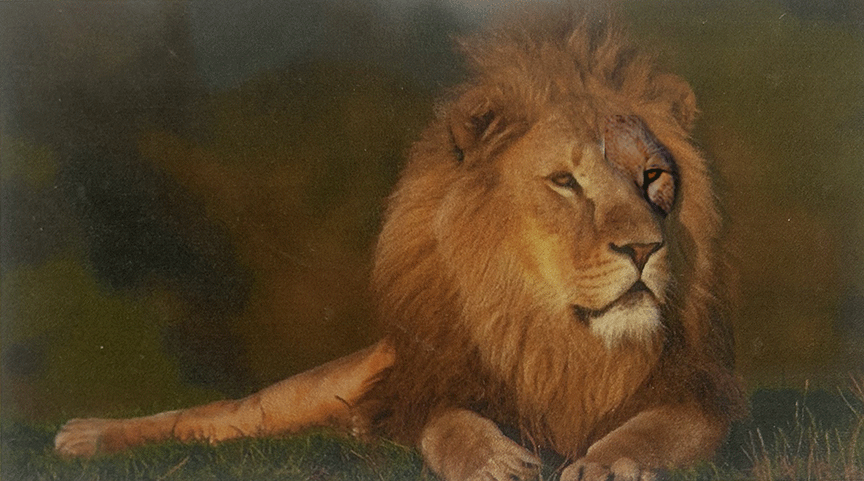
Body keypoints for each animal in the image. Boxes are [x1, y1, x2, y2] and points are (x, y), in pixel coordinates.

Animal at [55, 7, 745, 481]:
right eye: (566, 182)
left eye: (652, 177)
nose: (645, 248)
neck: (560, 342)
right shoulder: (428, 388)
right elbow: (450, 425)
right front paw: (494, 461)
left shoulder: (703, 399)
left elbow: (654, 431)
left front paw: (605, 463)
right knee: (215, 418)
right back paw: (84, 435)